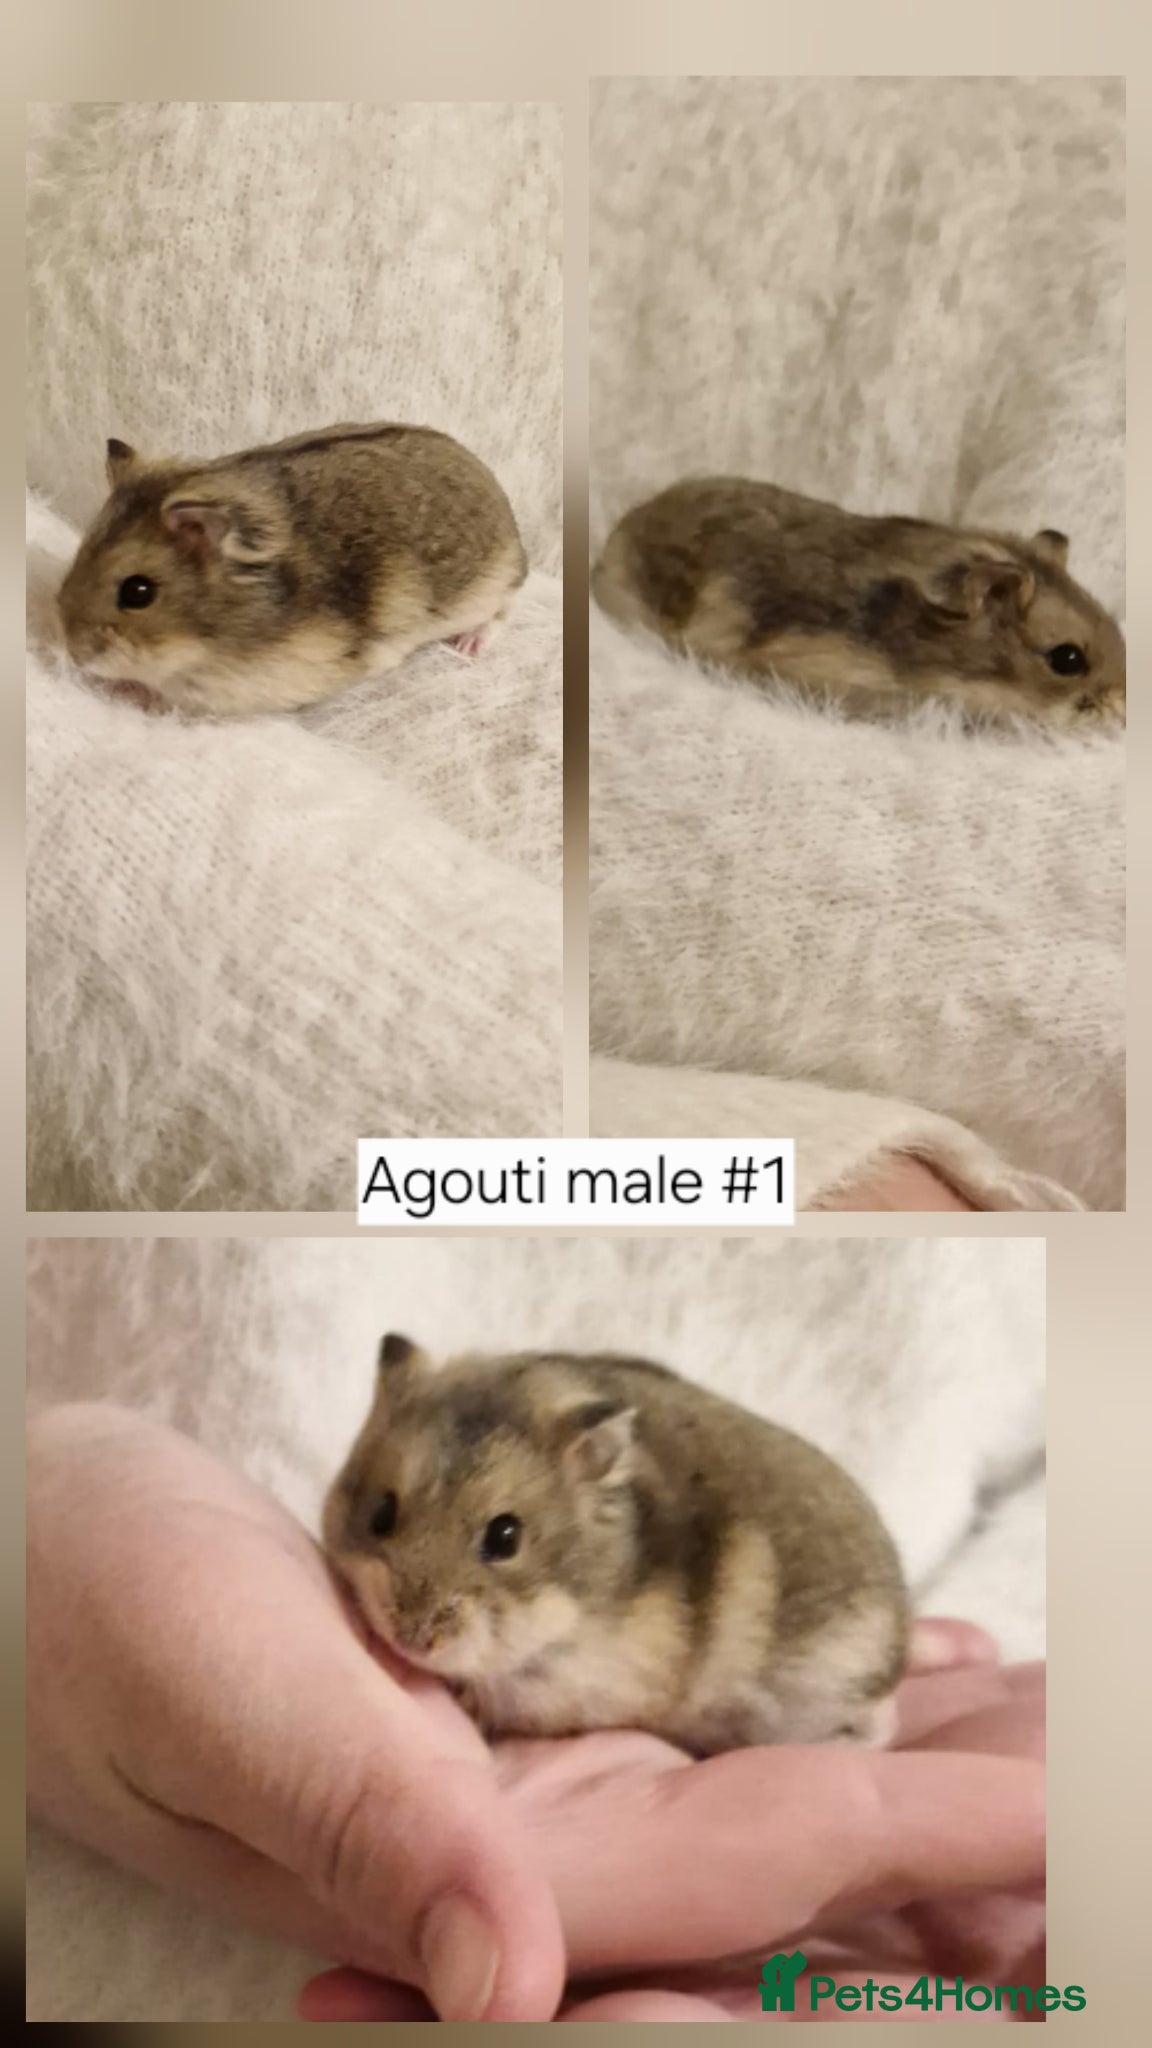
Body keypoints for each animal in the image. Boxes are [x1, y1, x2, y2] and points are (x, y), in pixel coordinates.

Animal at [57, 422, 527, 716]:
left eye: (138, 592)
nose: (74, 654)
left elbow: (172, 695)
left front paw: (123, 689)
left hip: (492, 584)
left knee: (504, 609)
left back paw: (468, 646)